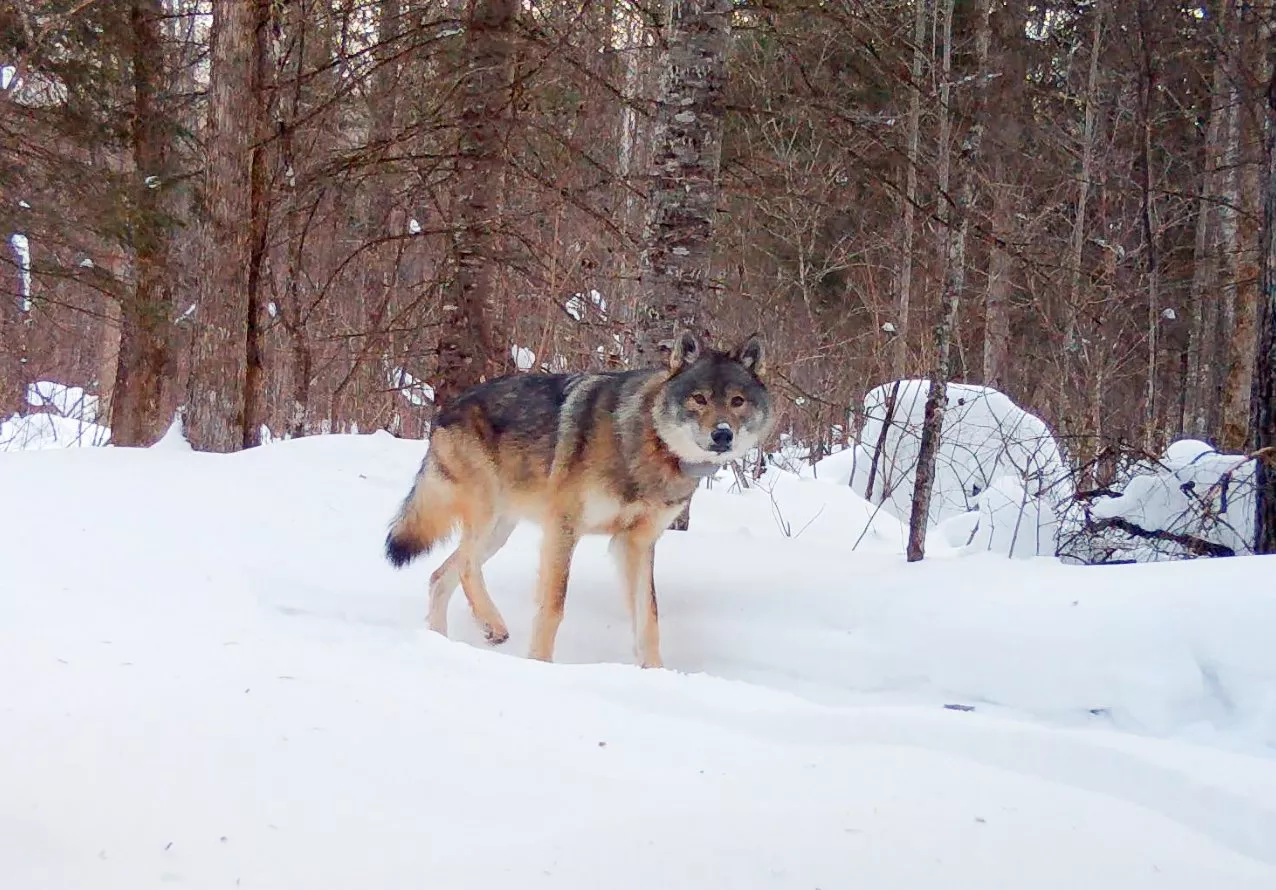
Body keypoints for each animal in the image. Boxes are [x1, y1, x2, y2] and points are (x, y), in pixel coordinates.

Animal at [383, 330, 774, 669]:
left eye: (737, 402)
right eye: (699, 399)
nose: (722, 434)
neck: (648, 444)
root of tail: (445, 410)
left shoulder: (636, 543)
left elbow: (649, 616)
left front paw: (656, 674)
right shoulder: (563, 528)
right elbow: (554, 607)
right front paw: (540, 664)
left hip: (499, 531)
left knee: (441, 575)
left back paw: (441, 641)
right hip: (487, 515)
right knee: (464, 566)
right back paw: (493, 625)